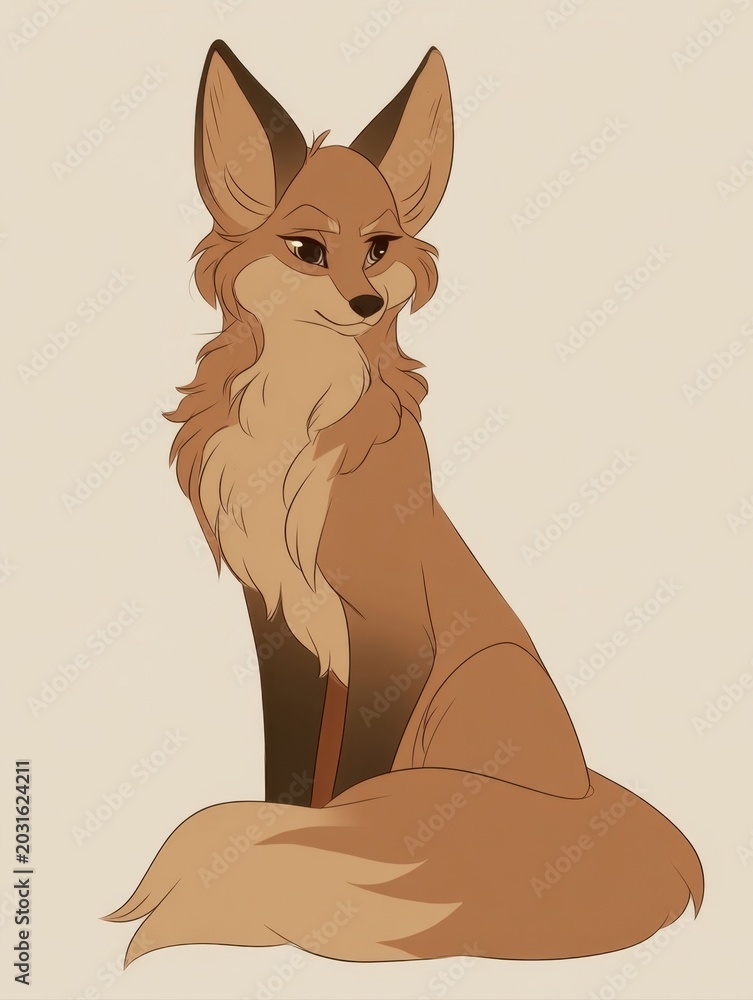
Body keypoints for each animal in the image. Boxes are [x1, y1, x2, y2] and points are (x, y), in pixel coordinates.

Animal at [106, 40, 704, 965]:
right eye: (307, 248)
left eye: (380, 246)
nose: (365, 302)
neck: (296, 423)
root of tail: (581, 792)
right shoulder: (282, 626)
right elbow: (295, 779)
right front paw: (288, 835)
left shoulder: (392, 638)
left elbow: (348, 796)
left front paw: (314, 862)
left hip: (475, 683)